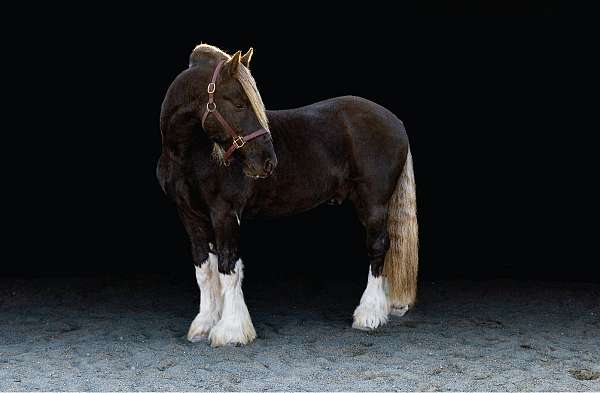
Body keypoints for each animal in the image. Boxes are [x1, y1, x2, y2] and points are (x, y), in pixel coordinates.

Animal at [157, 43, 418, 346]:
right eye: (239, 103)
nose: (268, 162)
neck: (188, 154)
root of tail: (394, 120)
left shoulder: (224, 213)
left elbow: (228, 267)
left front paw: (231, 331)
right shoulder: (190, 215)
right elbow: (204, 269)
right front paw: (204, 324)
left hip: (374, 203)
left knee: (378, 247)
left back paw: (369, 315)